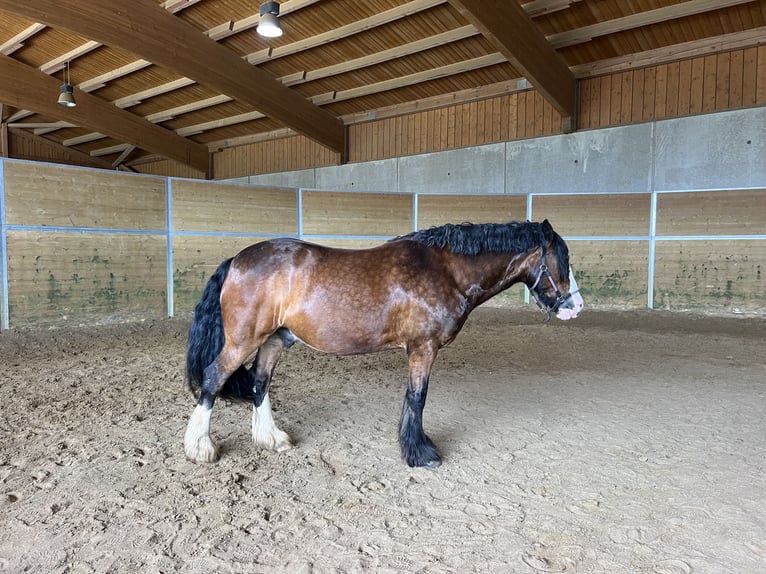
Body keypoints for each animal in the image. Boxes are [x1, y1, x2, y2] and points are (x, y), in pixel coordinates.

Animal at [183, 219, 584, 468]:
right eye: (561, 259)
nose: (575, 306)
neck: (445, 270)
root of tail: (237, 260)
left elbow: (412, 397)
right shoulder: (423, 347)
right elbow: (418, 397)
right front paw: (421, 453)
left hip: (274, 340)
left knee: (259, 383)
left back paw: (272, 439)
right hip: (243, 339)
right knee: (214, 378)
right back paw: (200, 447)